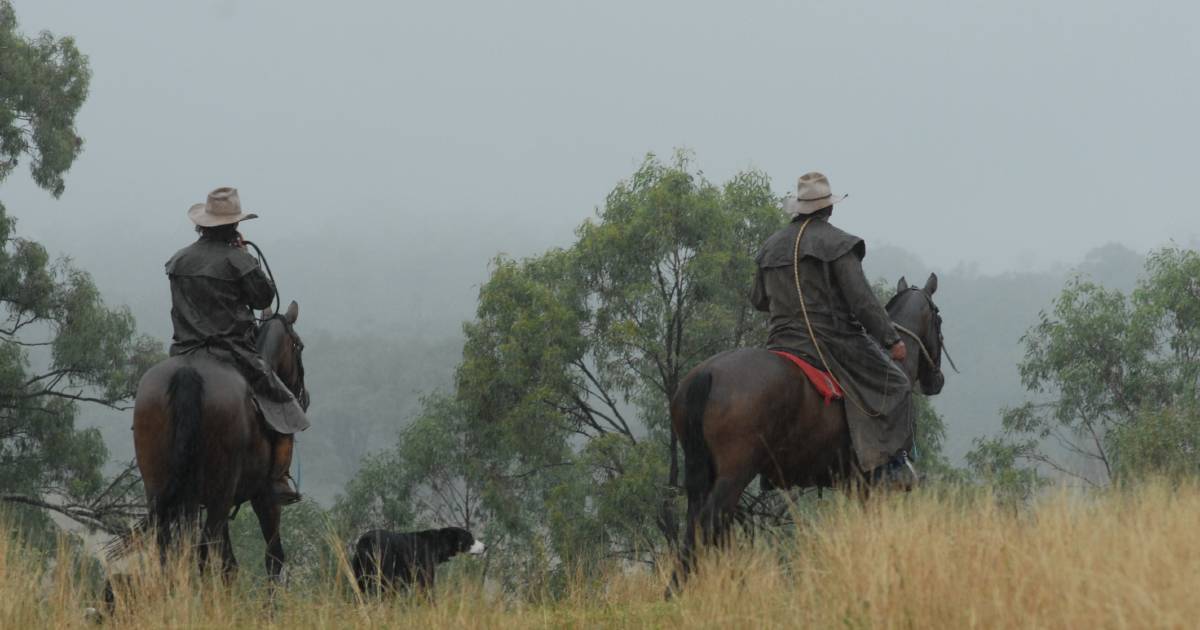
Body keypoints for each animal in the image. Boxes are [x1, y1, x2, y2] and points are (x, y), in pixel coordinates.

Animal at [112, 300, 307, 580]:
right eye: (299, 346)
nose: (304, 396)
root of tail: (188, 371)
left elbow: (228, 563)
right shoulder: (263, 498)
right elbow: (273, 557)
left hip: (161, 490)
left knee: (171, 549)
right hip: (219, 496)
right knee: (203, 550)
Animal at [350, 525, 487, 595]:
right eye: (470, 538)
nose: (485, 547)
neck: (437, 544)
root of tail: (364, 543)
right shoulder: (425, 568)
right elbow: (426, 588)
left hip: (359, 568)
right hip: (383, 563)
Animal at [667, 272, 945, 588]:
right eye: (938, 318)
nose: (937, 380)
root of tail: (707, 374)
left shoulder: (852, 485)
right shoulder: (870, 487)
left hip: (702, 476)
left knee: (696, 528)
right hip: (733, 475)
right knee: (708, 525)